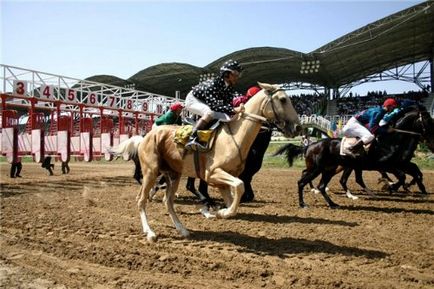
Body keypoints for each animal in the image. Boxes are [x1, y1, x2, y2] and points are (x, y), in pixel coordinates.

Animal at [134, 83, 300, 241]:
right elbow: (239, 186)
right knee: (141, 200)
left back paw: (182, 229)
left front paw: (220, 212)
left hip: (173, 174)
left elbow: (234, 201)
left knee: (168, 202)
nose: (298, 127)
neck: (234, 136)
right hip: (151, 171)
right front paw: (217, 210)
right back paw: (150, 232)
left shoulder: (223, 182)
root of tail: (146, 136)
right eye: (283, 99)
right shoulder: (213, 174)